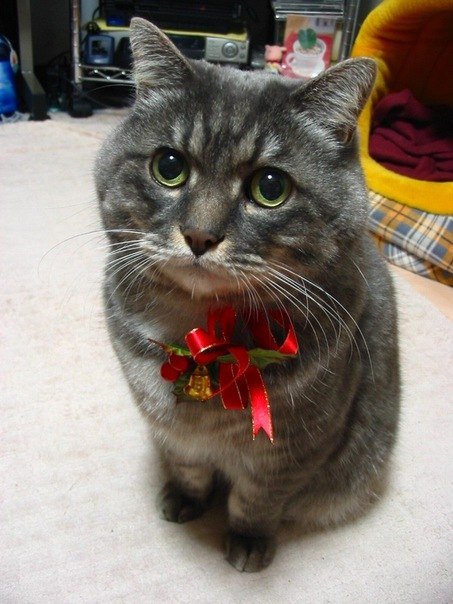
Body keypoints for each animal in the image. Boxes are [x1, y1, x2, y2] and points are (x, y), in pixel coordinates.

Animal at [95, 17, 400, 572]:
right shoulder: (173, 434)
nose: (199, 235)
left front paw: (248, 541)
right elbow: (188, 468)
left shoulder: (293, 450)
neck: (204, 336)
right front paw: (183, 501)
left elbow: (257, 499)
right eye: (169, 166)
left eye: (270, 187)